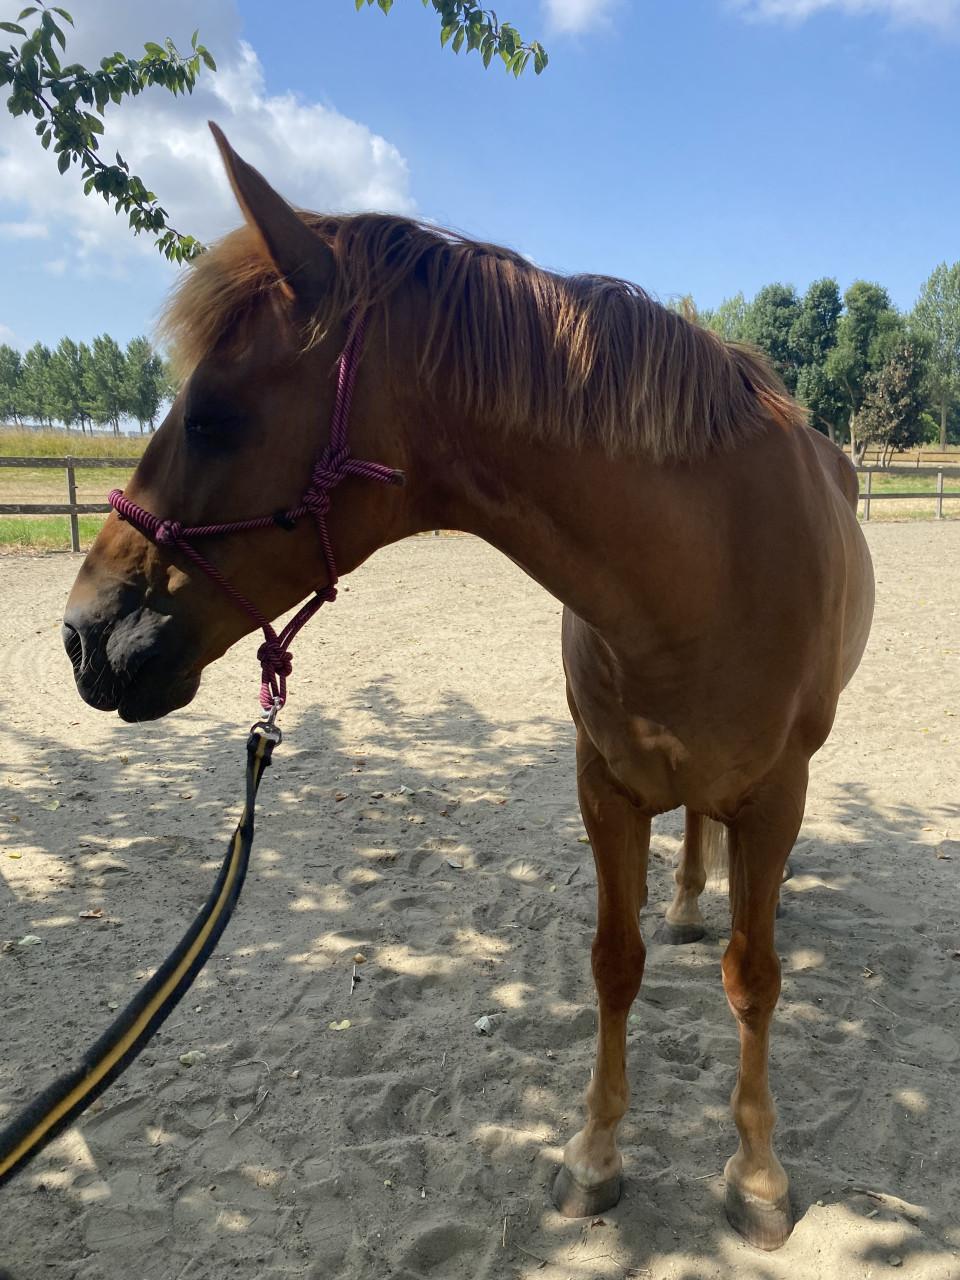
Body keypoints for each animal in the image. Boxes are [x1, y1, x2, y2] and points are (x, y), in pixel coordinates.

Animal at [62, 123, 874, 1252]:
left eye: (216, 417)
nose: (83, 634)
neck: (703, 570)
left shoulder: (775, 792)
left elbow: (753, 979)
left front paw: (756, 1176)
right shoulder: (604, 786)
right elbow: (615, 961)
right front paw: (595, 1154)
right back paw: (685, 903)